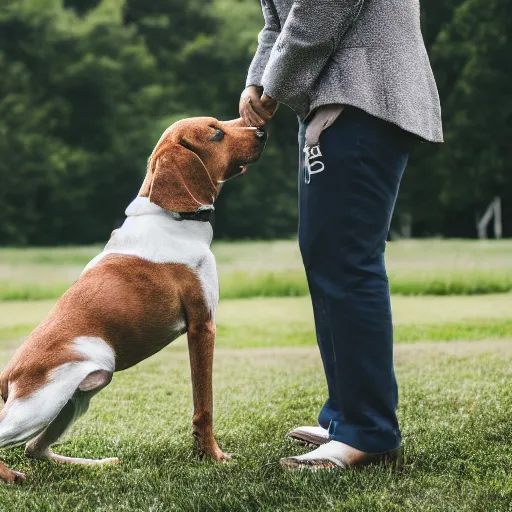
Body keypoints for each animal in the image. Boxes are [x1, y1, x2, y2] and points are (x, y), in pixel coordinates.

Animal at [0, 116, 268, 484]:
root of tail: (7, 373)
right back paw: (12, 475)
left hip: (79, 394)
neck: (172, 218)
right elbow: (204, 406)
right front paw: (213, 457)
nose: (263, 131)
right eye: (215, 132)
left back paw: (96, 465)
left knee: (34, 449)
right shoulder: (203, 326)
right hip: (40, 404)